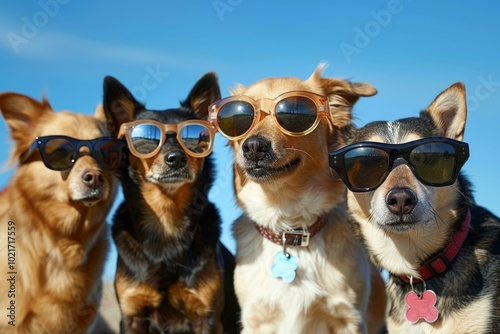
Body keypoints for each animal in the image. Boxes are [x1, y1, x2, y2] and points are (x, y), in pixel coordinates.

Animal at [102, 73, 239, 334]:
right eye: (145, 139)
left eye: (194, 138)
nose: (176, 158)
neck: (166, 218)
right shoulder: (132, 316)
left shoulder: (206, 318)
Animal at [207, 64, 386, 332]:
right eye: (237, 119)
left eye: (295, 115)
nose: (253, 146)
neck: (289, 227)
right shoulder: (256, 320)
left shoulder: (349, 318)